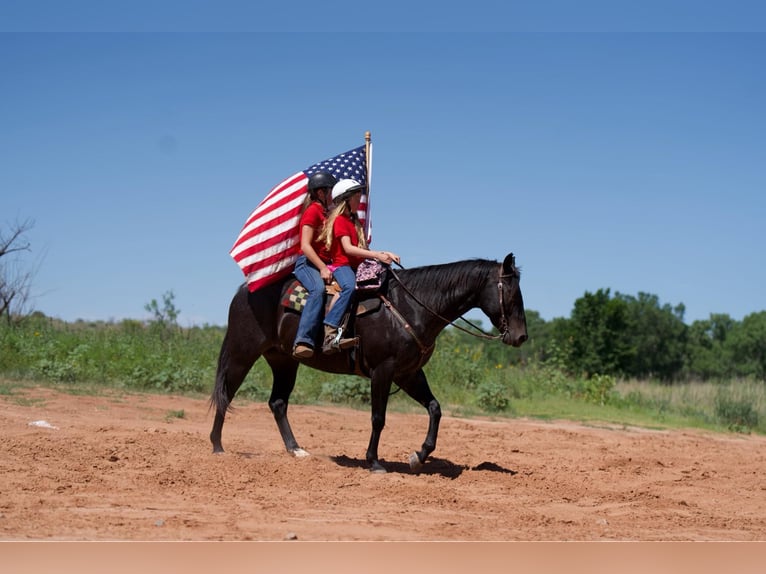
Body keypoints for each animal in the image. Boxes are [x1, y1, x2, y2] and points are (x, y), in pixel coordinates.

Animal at [209, 252, 527, 473]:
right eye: (512, 293)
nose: (521, 336)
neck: (412, 307)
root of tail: (244, 290)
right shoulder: (383, 371)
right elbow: (378, 418)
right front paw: (374, 462)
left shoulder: (409, 373)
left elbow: (435, 409)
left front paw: (419, 456)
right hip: (242, 352)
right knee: (226, 393)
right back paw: (217, 446)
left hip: (284, 361)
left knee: (277, 403)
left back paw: (296, 450)